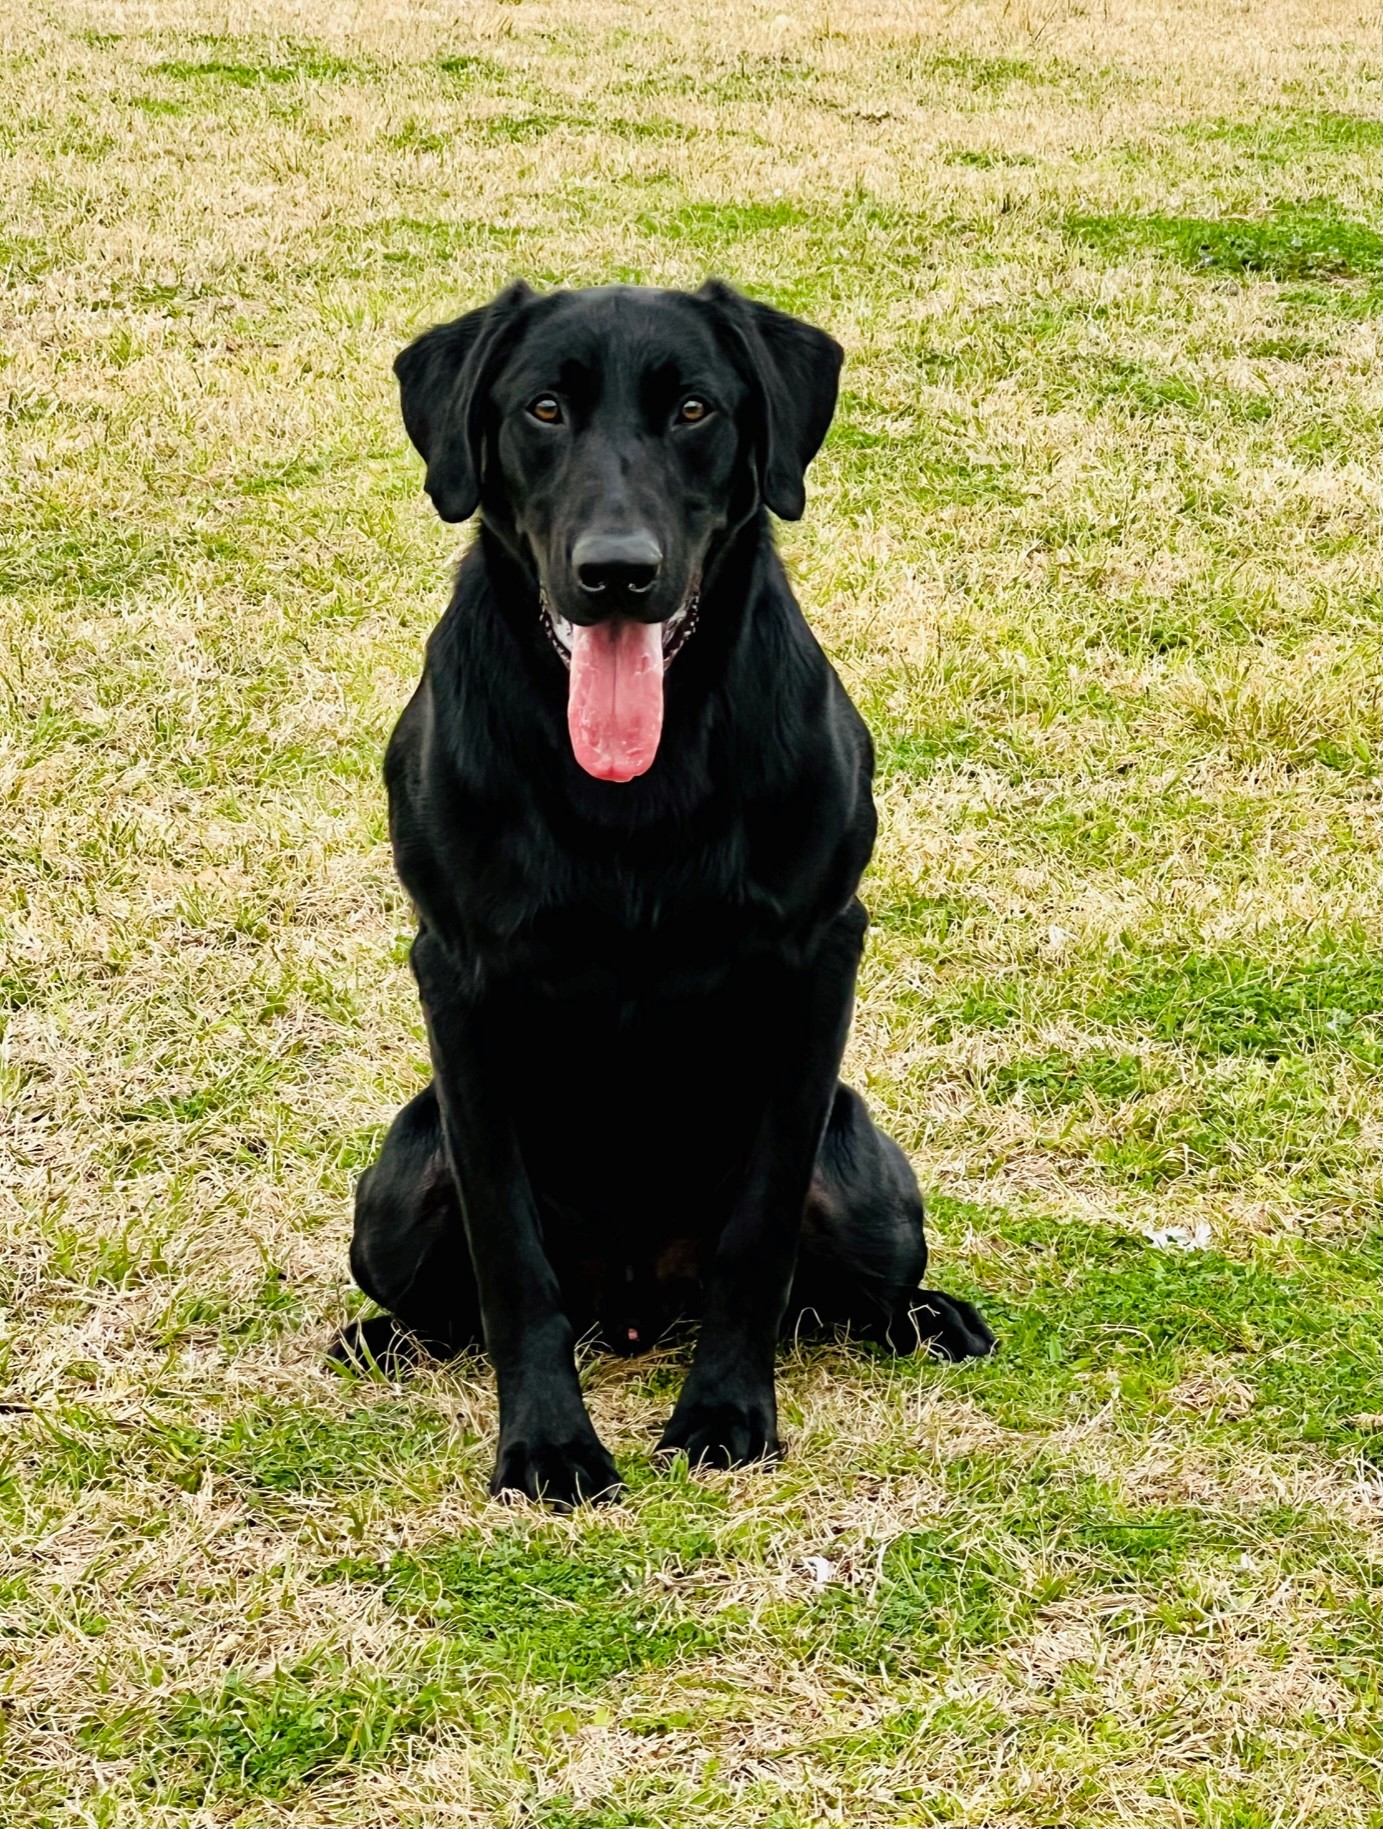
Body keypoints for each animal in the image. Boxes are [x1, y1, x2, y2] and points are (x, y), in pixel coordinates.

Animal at [338, 281, 995, 1499]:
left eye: (694, 409)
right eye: (543, 407)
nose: (617, 573)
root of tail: (637, 1310)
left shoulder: (820, 956)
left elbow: (760, 1234)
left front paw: (727, 1413)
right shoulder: (457, 974)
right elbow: (508, 1253)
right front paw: (547, 1442)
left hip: (872, 1187)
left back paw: (931, 1318)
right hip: (396, 1189)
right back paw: (381, 1337)